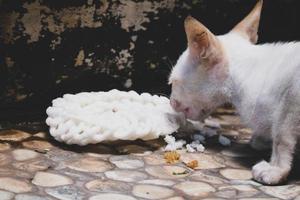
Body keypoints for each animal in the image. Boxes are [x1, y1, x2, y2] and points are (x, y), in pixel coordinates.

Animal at [169, 0, 300, 185]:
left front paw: (276, 169)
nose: (171, 102)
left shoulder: (293, 96)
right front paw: (263, 140)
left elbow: (282, 135)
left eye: (174, 82)